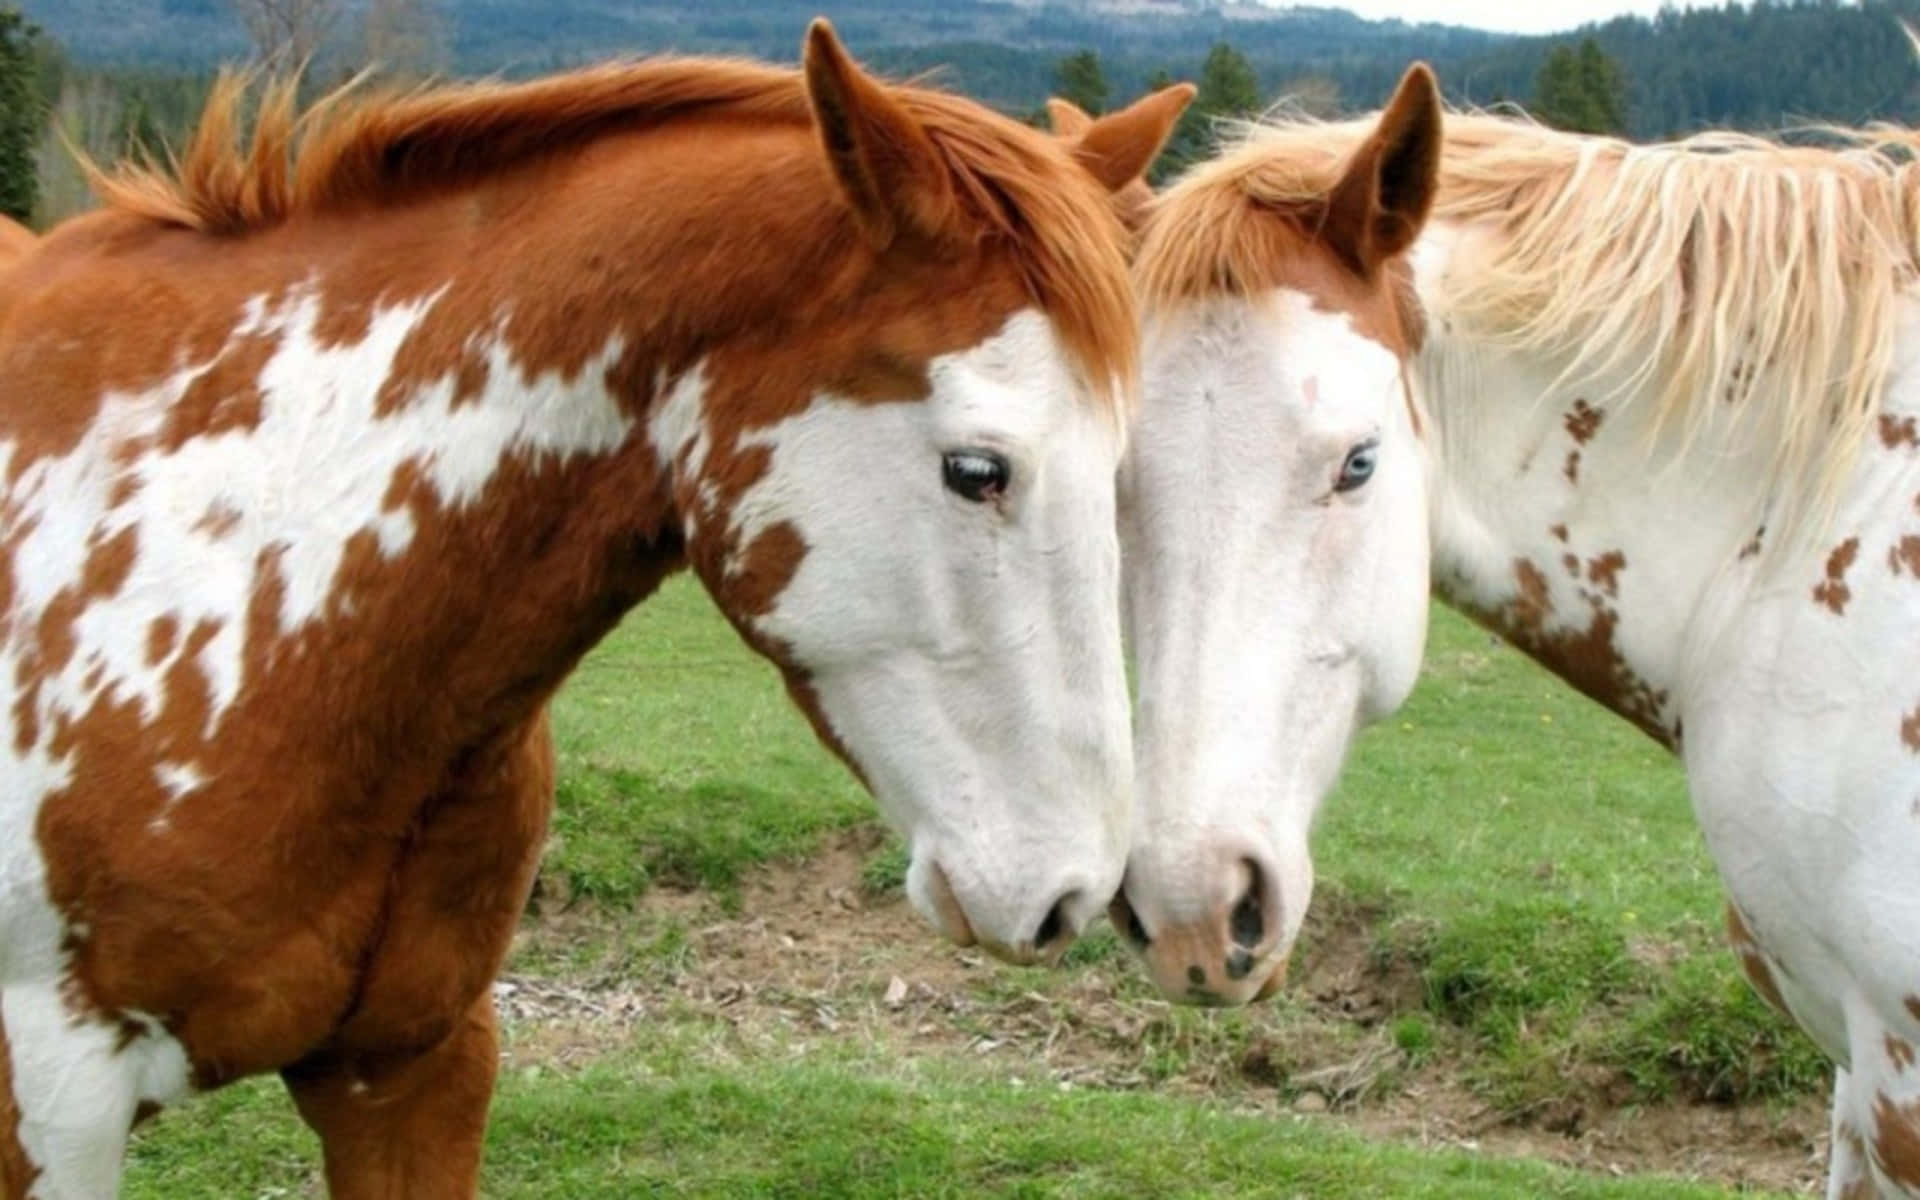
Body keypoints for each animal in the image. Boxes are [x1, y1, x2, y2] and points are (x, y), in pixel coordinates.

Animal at [1112, 58, 1920, 1196]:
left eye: (1359, 462)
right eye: (1113, 476)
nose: (1189, 908)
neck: (1822, 514)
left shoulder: (1899, 1082)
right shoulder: (1856, 1076)